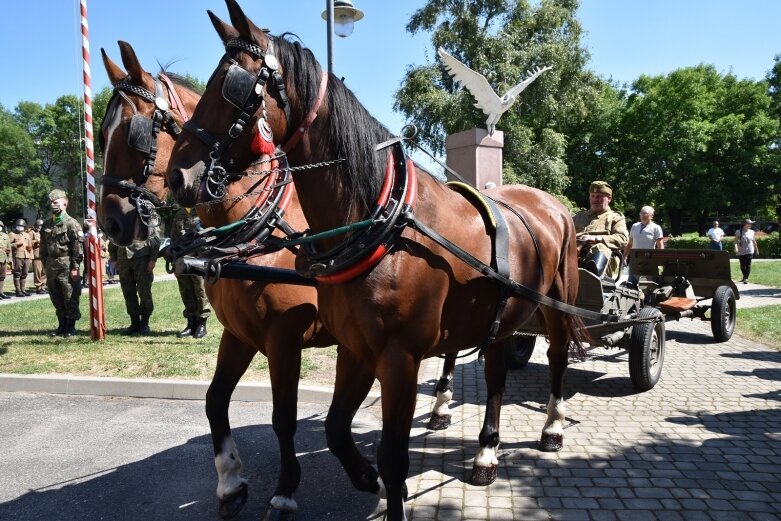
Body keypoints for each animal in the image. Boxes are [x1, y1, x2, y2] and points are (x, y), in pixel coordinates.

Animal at [96, 41, 334, 520]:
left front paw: (284, 491)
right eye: (101, 135)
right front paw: (230, 482)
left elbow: (284, 418)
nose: (110, 222)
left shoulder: (285, 337)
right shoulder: (239, 333)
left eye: (134, 132)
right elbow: (214, 400)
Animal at [169, 2, 584, 516]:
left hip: (557, 304)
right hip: (499, 315)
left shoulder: (396, 358)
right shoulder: (353, 347)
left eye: (235, 86)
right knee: (493, 373)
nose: (179, 175)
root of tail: (550, 204)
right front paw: (369, 479)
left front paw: (376, 486)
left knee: (557, 358)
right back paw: (486, 450)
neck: (381, 223)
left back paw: (552, 427)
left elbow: (390, 454)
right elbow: (334, 427)